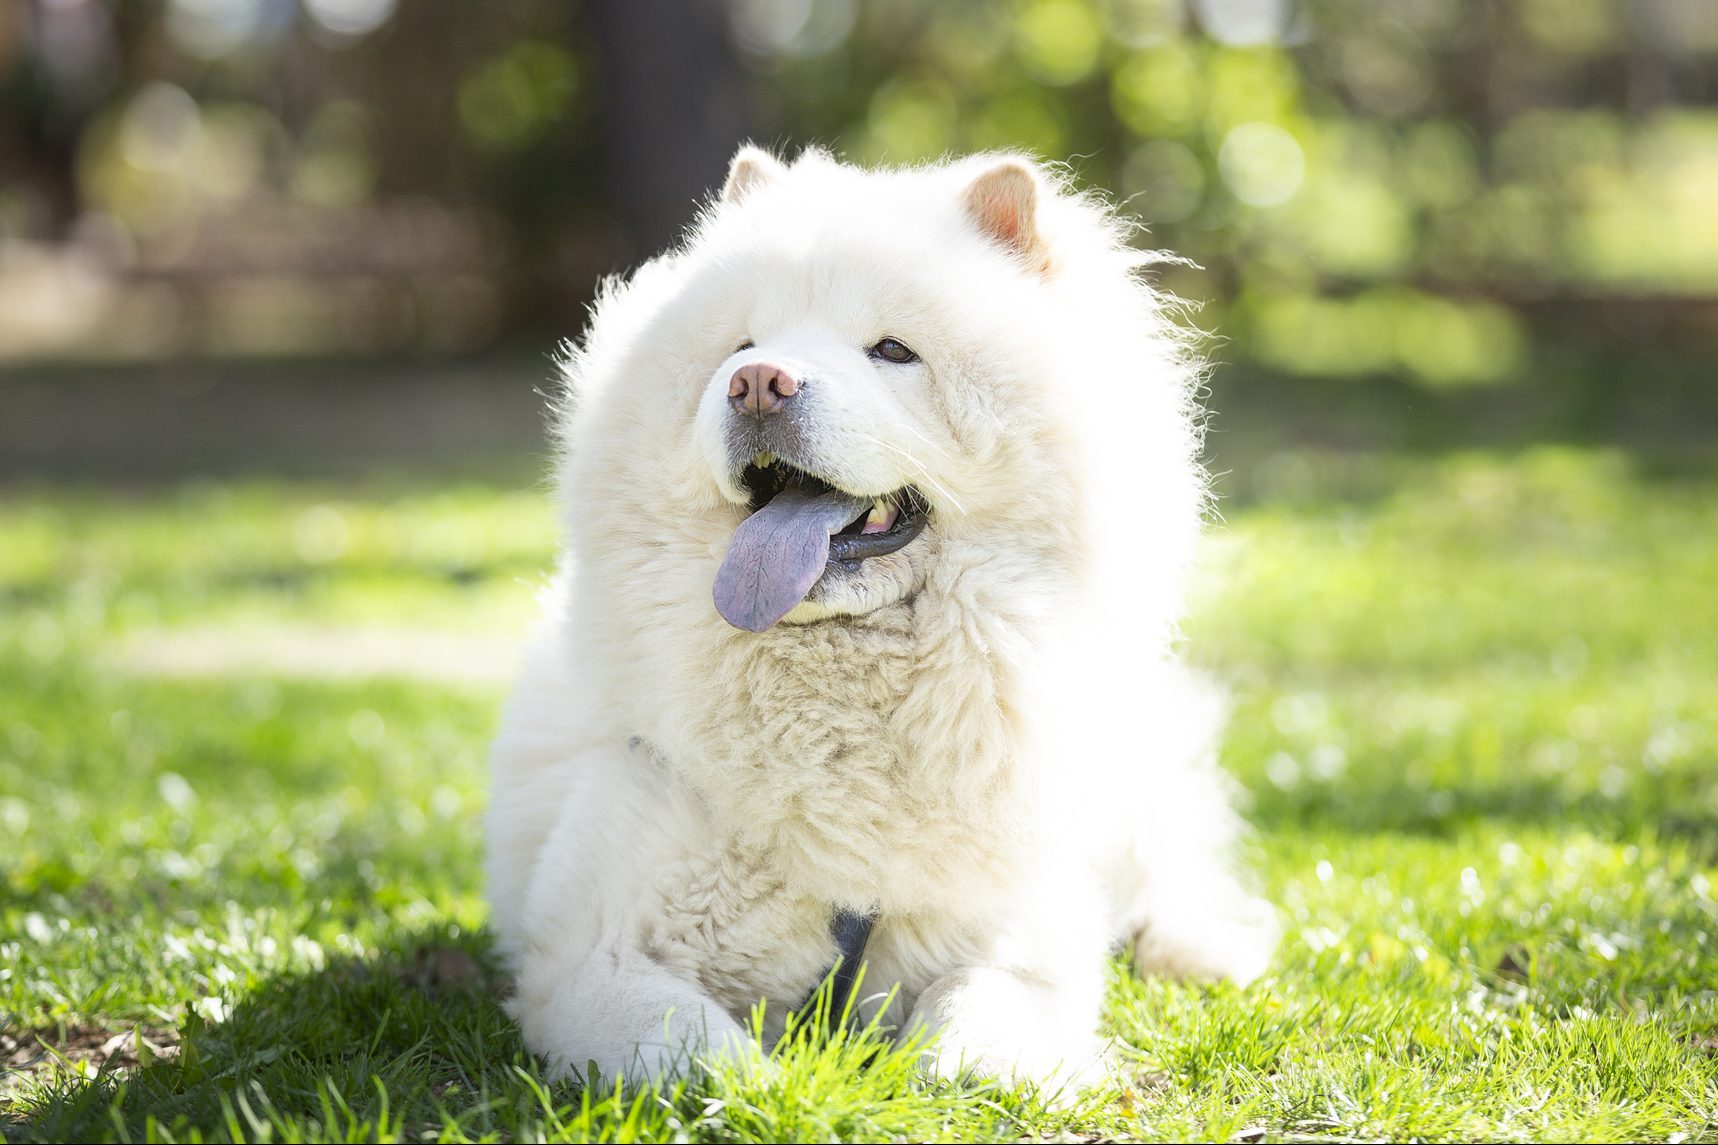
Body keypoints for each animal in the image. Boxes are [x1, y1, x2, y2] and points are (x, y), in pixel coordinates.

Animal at [484, 145, 1278, 1086]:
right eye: (742, 348)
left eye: (893, 351)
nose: (758, 384)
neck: (842, 704)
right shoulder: (588, 961)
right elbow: (694, 1045)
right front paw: (770, 1090)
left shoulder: (1019, 946)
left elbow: (970, 1024)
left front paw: (947, 1077)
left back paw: (1198, 948)